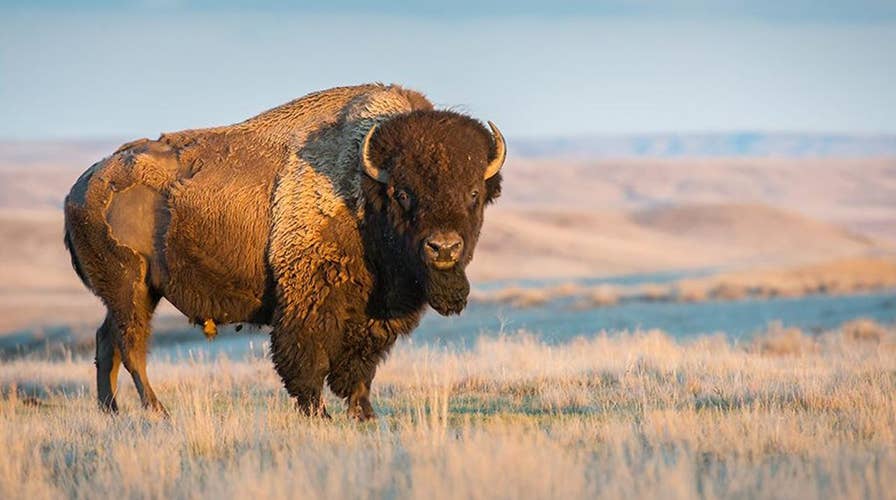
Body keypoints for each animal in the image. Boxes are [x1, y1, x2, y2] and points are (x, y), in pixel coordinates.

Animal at [65, 83, 504, 418]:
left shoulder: (374, 316)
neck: (363, 187)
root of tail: (82, 187)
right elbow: (307, 359)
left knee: (107, 341)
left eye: (474, 193)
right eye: (402, 193)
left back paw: (111, 410)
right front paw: (319, 414)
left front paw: (364, 414)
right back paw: (157, 411)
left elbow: (361, 366)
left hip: (135, 293)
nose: (443, 247)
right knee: (131, 345)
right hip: (131, 287)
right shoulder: (308, 299)